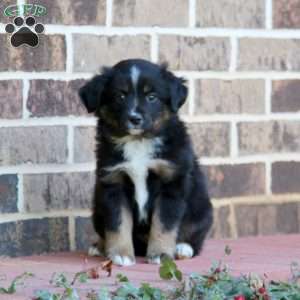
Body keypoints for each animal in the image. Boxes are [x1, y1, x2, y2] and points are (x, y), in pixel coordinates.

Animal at [78, 59, 212, 266]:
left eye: (151, 97)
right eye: (120, 96)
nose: (135, 119)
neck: (138, 141)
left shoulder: (171, 182)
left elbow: (164, 224)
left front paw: (161, 254)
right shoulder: (113, 182)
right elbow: (118, 223)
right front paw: (121, 254)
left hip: (201, 208)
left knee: (195, 234)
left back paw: (183, 248)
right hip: (97, 208)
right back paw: (99, 246)